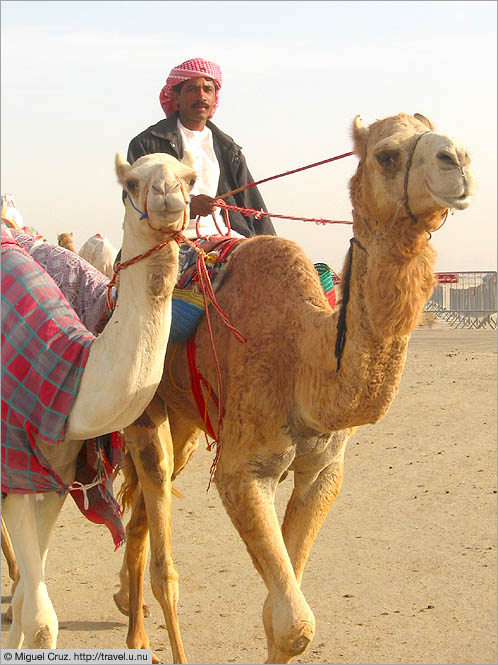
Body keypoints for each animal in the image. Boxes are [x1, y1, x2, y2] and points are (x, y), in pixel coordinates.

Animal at [1, 150, 196, 648]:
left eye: (189, 178)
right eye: (130, 183)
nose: (167, 196)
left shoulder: (58, 474)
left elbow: (31, 603)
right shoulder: (14, 470)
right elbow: (42, 618)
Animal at [115, 111, 476, 660]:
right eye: (387, 154)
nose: (457, 159)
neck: (304, 364)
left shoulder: (322, 470)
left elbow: (280, 612)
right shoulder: (244, 471)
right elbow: (294, 622)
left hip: (189, 422)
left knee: (141, 509)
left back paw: (130, 621)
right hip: (142, 410)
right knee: (159, 533)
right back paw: (144, 636)